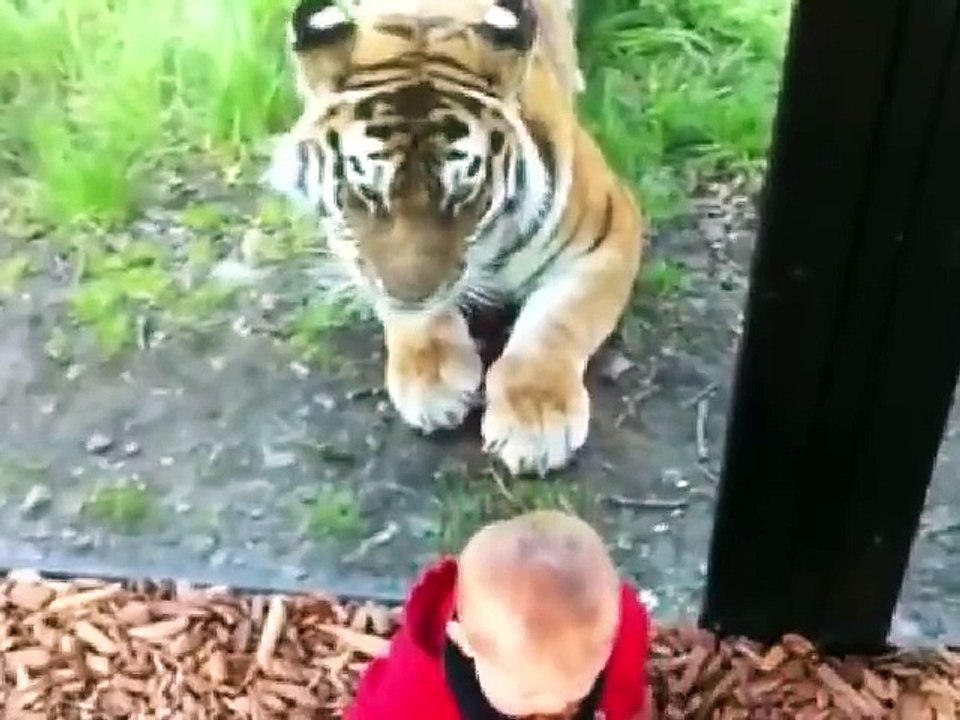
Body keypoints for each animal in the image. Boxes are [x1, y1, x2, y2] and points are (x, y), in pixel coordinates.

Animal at [266, 0, 646, 476]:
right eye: (368, 192)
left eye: (462, 193)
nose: (411, 294)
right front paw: (433, 381)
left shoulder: (607, 233)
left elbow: (557, 324)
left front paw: (535, 420)